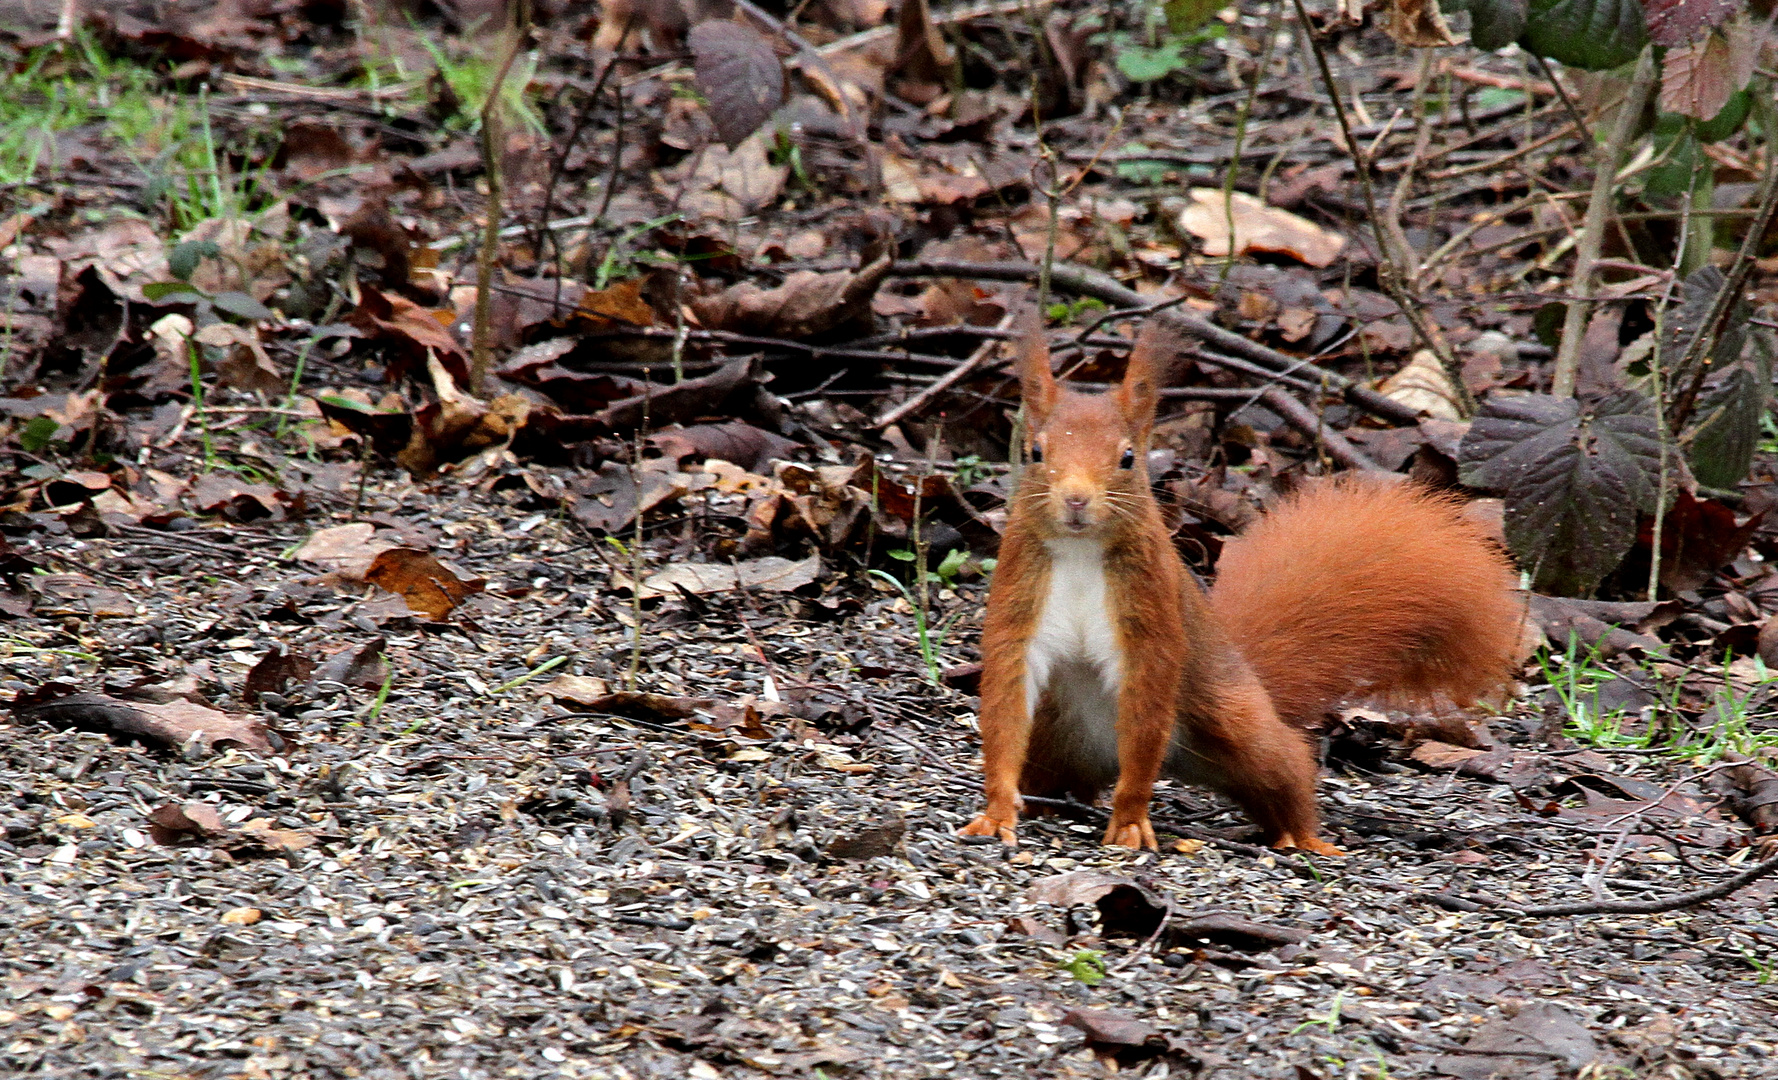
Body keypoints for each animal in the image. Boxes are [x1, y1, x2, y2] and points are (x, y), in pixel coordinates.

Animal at [967, 316, 1521, 857]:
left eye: (1127, 458)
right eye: (1035, 451)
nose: (1077, 499)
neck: (1081, 549)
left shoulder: (1151, 610)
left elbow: (1147, 705)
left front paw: (1129, 821)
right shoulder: (1020, 596)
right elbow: (1005, 698)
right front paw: (997, 812)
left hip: (1236, 725)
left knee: (1285, 767)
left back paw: (1303, 836)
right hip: (1054, 738)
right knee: (1055, 777)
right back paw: (1044, 804)